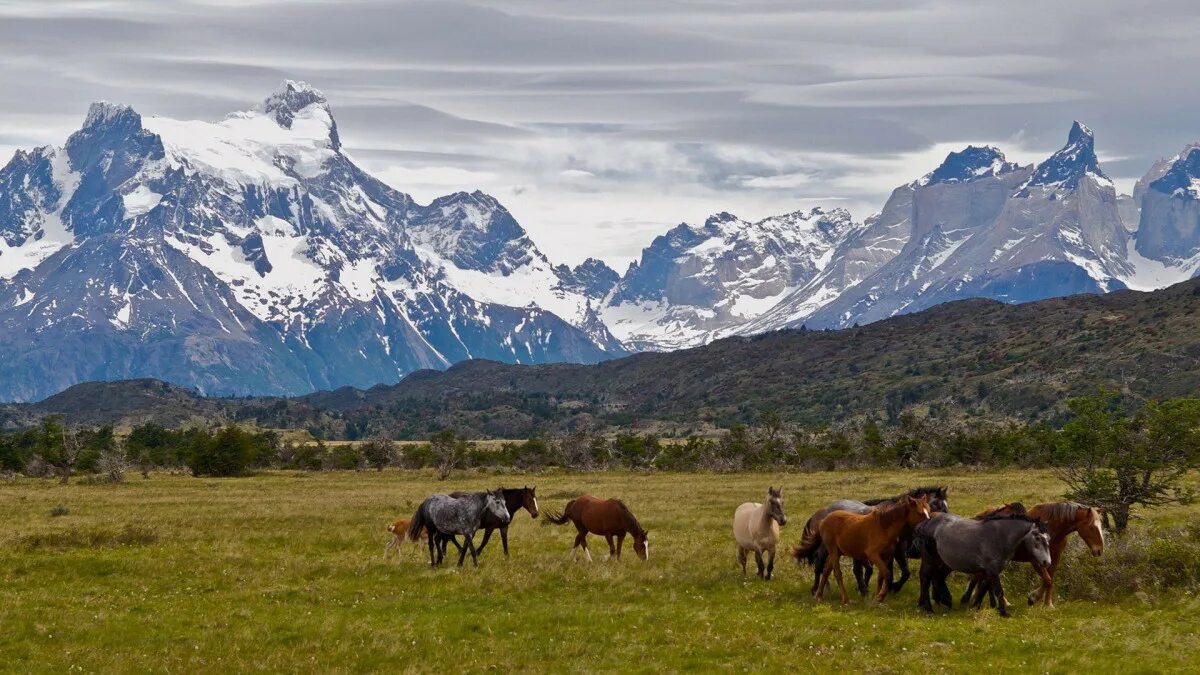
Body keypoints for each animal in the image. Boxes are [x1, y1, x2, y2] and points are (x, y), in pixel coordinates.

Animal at [792, 482, 950, 593]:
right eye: (936, 504)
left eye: (946, 505)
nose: (945, 524)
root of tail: (820, 513)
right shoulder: (898, 552)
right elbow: (904, 573)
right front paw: (893, 587)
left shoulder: (893, 552)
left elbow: (899, 572)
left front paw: (889, 588)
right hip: (827, 548)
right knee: (819, 564)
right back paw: (816, 589)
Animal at [916, 509, 1051, 614]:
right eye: (1037, 537)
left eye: (1048, 538)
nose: (1047, 562)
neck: (999, 536)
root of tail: (928, 522)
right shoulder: (992, 570)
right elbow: (998, 590)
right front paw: (1003, 612)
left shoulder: (989, 571)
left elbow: (984, 588)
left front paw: (975, 607)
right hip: (930, 560)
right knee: (925, 578)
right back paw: (928, 608)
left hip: (941, 562)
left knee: (936, 577)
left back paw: (940, 602)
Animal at [964, 499, 1104, 605]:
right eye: (1091, 527)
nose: (1099, 550)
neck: (1051, 528)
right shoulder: (1036, 560)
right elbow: (1047, 580)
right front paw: (1034, 598)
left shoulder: (1054, 558)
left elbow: (1049, 580)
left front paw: (1048, 604)